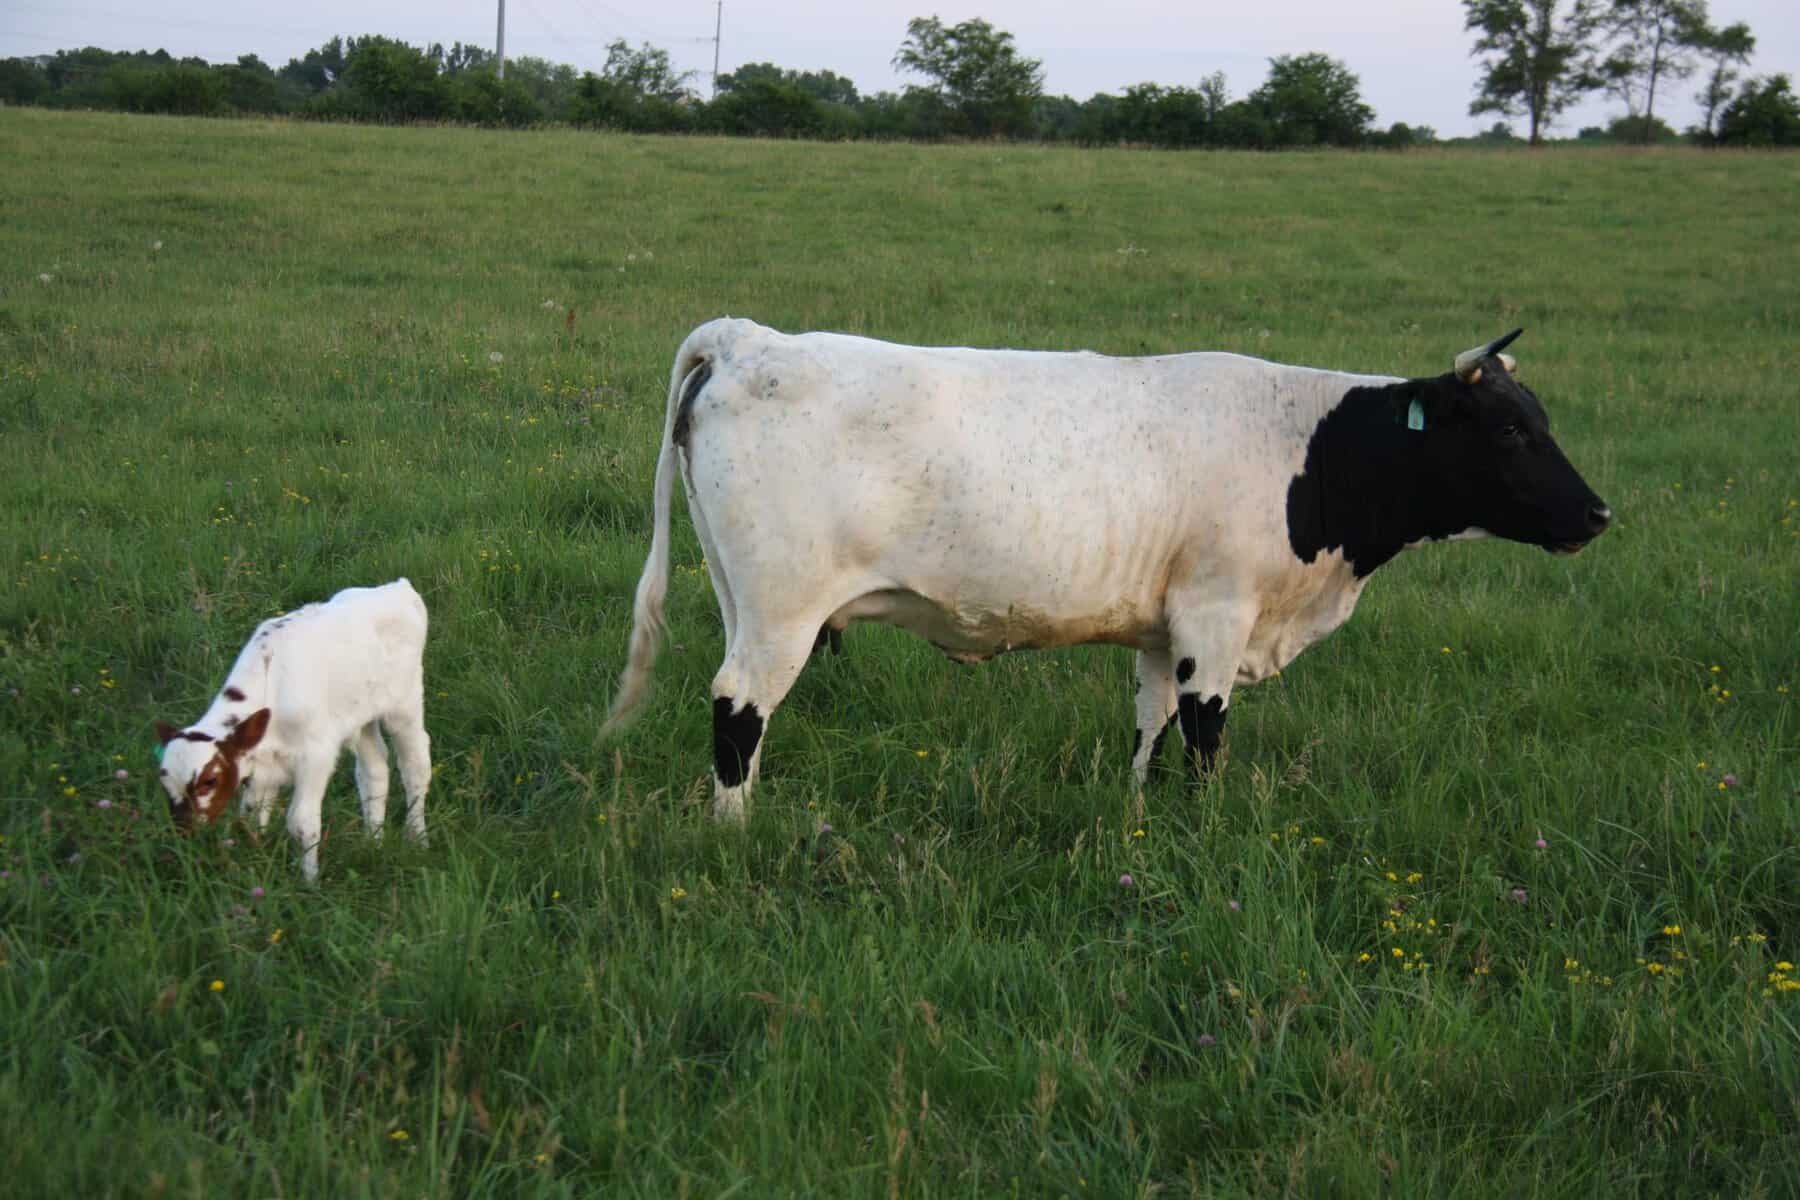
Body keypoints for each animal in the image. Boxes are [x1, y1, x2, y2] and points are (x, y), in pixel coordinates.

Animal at [155, 579, 433, 881]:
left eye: (209, 780)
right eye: (165, 782)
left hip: (404, 705)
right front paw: (257, 862)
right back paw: (373, 842)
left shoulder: (316, 756)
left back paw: (417, 838)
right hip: (360, 717)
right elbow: (251, 814)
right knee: (374, 769)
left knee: (415, 766)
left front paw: (310, 881)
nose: (184, 829)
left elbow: (301, 822)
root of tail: (397, 587)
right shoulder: (260, 766)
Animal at [602, 319, 1610, 820]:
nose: (1599, 515)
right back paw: (737, 833)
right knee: (738, 708)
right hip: (782, 611)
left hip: (742, 597)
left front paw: (1136, 818)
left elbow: (1150, 725)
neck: (1312, 449)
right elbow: (1204, 735)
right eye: (1509, 428)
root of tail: (752, 338)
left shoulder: (1164, 626)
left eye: (1541, 418)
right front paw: (1206, 832)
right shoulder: (1217, 614)